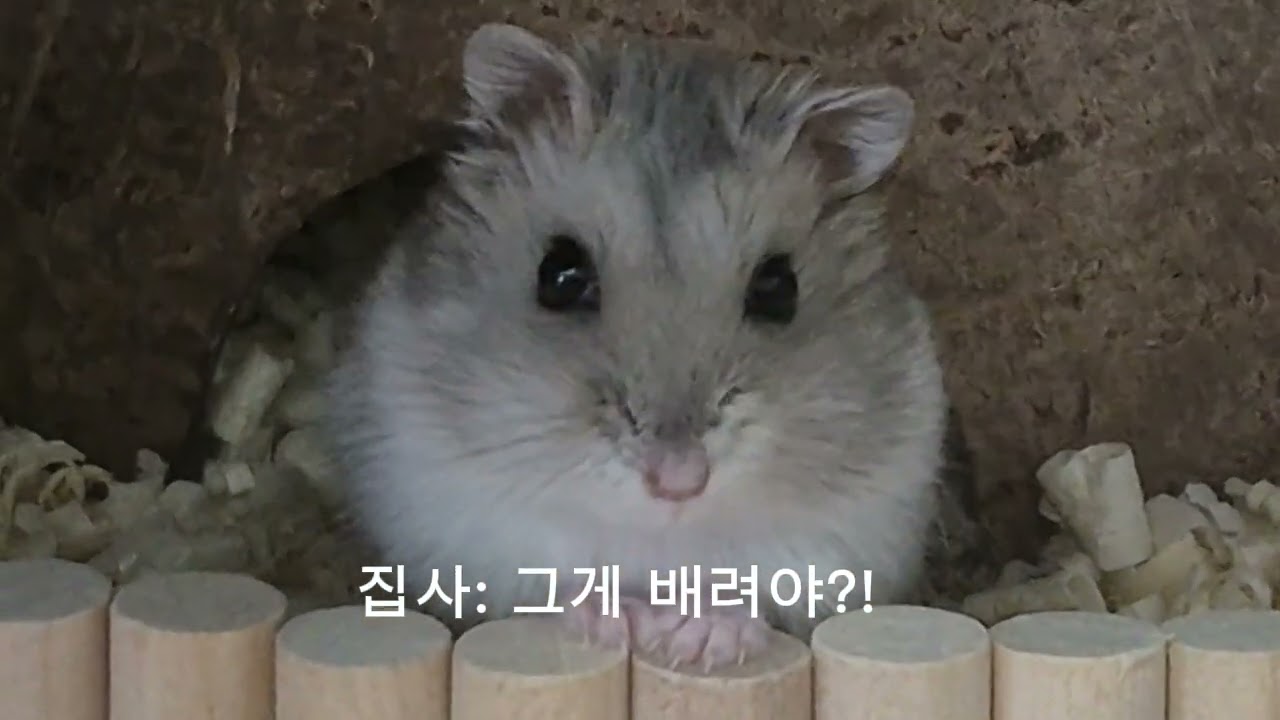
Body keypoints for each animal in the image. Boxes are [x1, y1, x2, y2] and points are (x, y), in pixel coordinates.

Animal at [324, 22, 952, 671]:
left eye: (780, 288)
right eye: (560, 274)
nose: (678, 482)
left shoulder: (845, 530)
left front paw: (701, 638)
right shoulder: (458, 514)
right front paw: (619, 620)